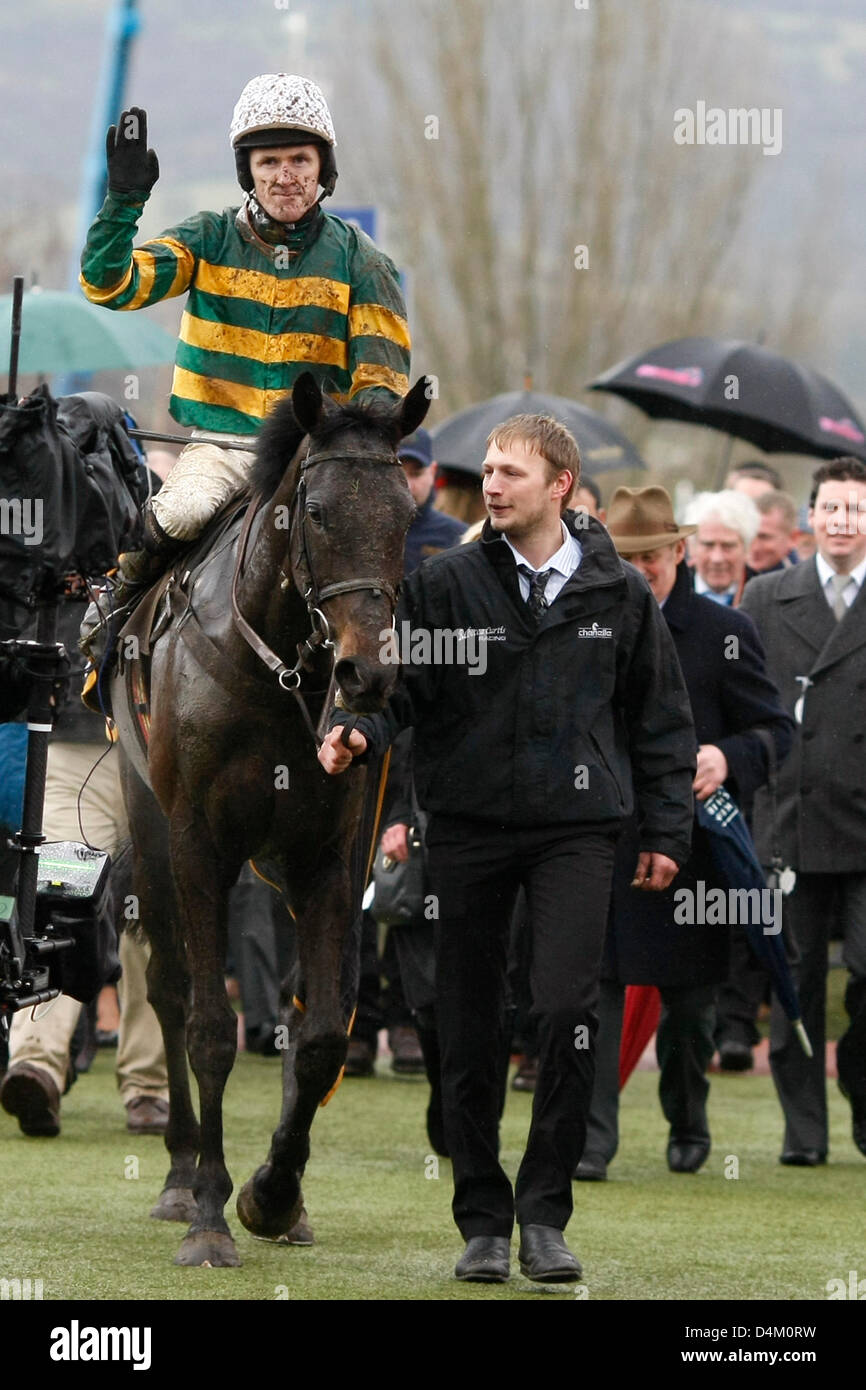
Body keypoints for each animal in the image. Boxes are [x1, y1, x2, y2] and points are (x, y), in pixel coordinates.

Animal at [111, 375, 430, 1267]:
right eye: (316, 512)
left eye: (404, 514)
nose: (366, 674)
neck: (275, 667)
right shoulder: (197, 845)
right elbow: (211, 1025)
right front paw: (211, 1214)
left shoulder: (328, 856)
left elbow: (319, 1034)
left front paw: (274, 1194)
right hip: (149, 829)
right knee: (170, 991)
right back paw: (180, 1173)